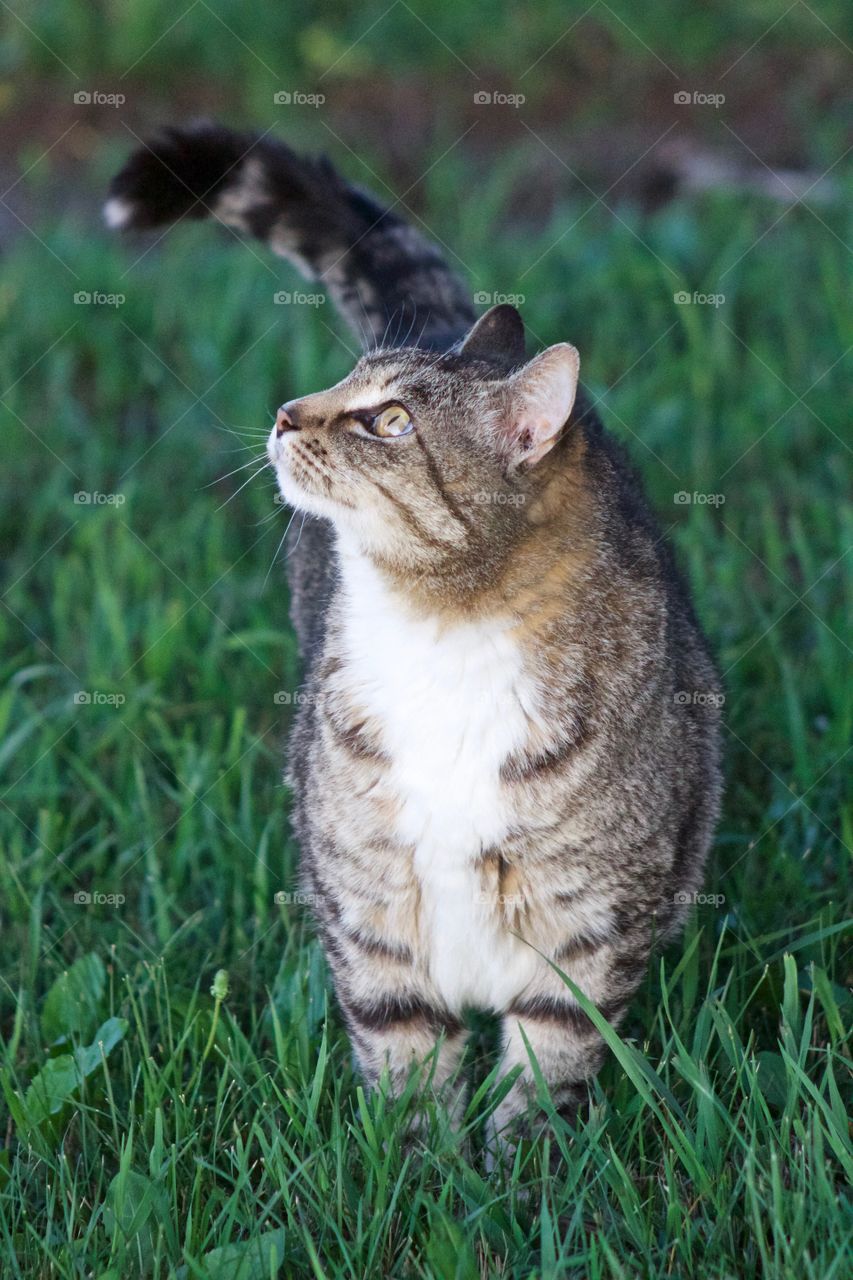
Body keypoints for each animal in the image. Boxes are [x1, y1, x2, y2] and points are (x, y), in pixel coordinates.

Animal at [104, 124, 717, 1146]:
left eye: (389, 421)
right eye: (345, 381)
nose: (285, 413)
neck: (440, 632)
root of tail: (445, 322)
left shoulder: (590, 920)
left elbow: (552, 1052)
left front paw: (520, 1170)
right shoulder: (366, 902)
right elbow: (401, 1048)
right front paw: (411, 1166)